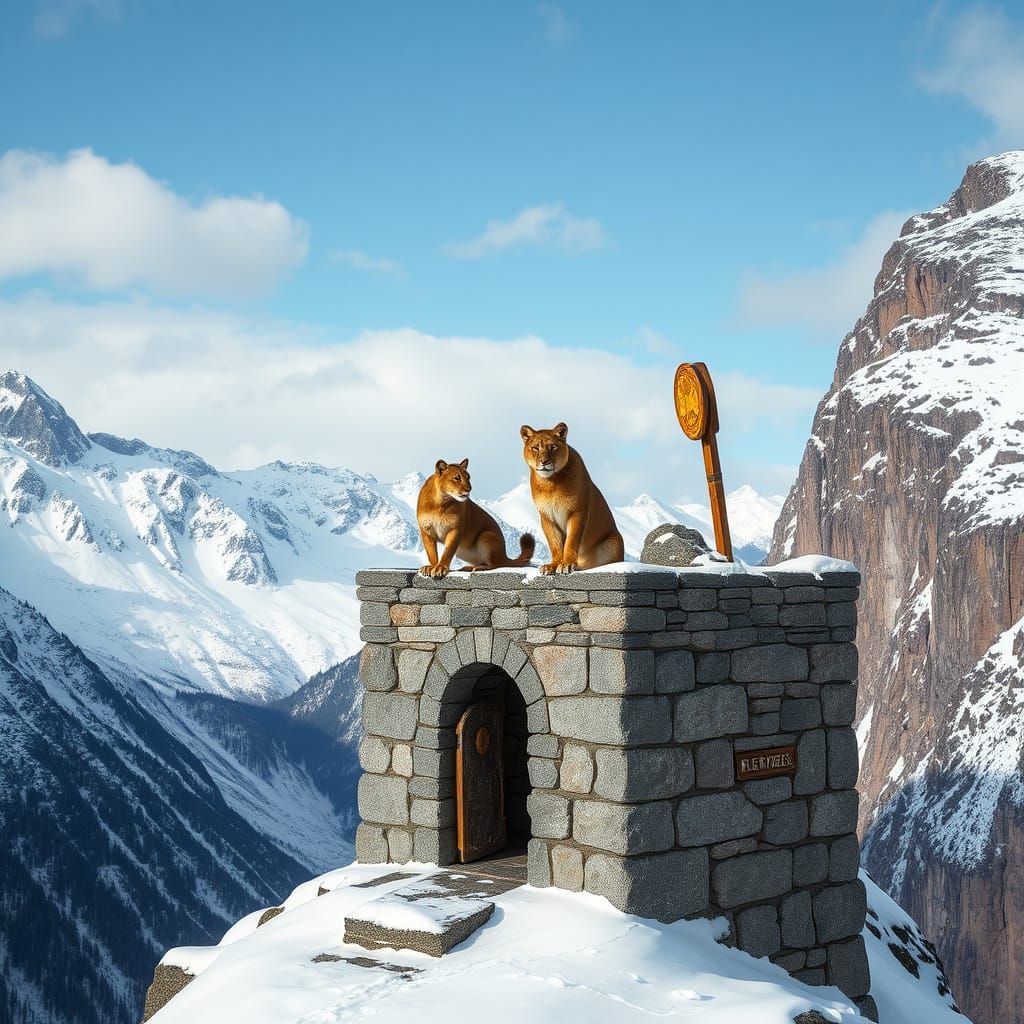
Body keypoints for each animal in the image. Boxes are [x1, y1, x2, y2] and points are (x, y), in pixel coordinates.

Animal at [520, 423, 624, 574]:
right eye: (535, 448)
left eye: (553, 447)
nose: (544, 462)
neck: (550, 483)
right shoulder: (547, 517)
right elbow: (555, 544)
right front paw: (553, 565)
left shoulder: (577, 511)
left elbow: (571, 541)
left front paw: (567, 564)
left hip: (613, 542)